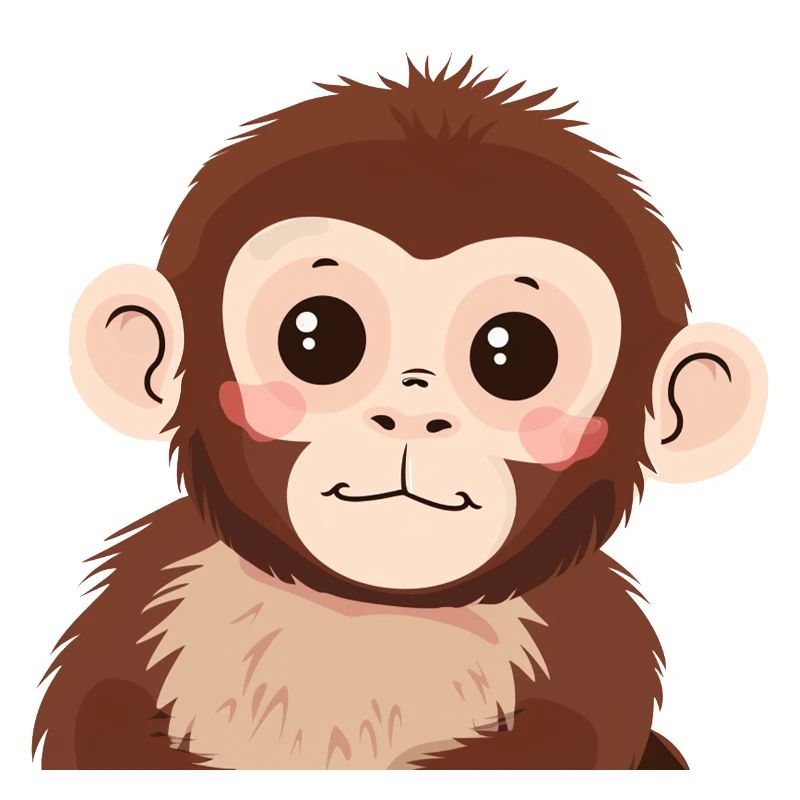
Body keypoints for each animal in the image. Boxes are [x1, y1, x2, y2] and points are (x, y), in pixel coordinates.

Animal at [33, 57, 767, 769]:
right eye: (317, 336)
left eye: (513, 353)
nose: (412, 415)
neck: (365, 612)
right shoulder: (152, 589)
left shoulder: (592, 636)